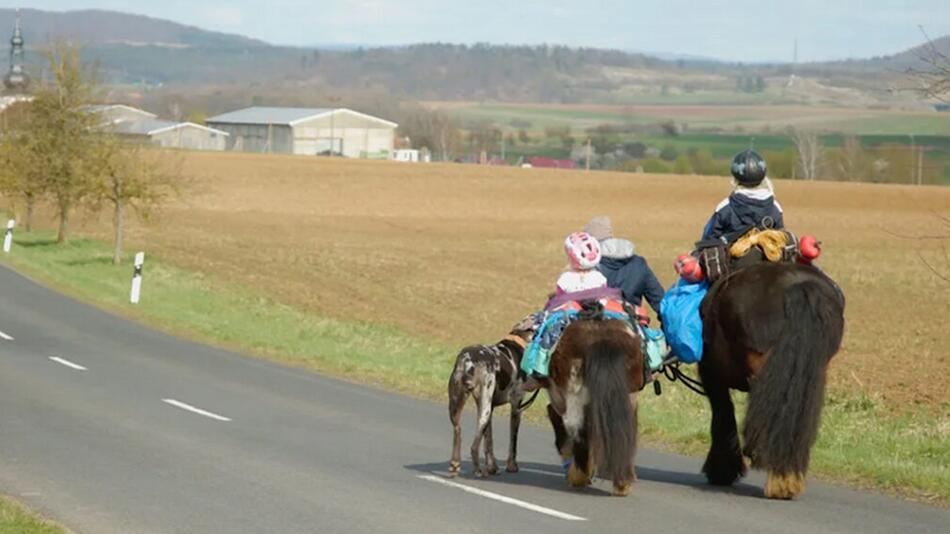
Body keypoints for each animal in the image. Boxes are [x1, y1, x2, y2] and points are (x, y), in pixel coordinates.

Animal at [450, 314, 540, 478]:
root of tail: (467, 360)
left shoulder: (491, 409)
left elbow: (489, 442)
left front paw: (492, 467)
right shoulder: (516, 408)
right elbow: (513, 443)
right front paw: (511, 466)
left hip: (458, 408)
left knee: (458, 432)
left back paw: (455, 465)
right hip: (483, 410)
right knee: (473, 447)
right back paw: (478, 471)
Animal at [544, 304, 648, 500]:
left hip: (574, 393)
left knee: (577, 429)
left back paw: (579, 476)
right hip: (628, 395)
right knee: (626, 428)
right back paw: (622, 483)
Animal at [700, 264, 848, 502]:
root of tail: (799, 286)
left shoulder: (710, 372)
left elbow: (722, 413)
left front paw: (722, 470)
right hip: (814, 370)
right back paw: (786, 478)